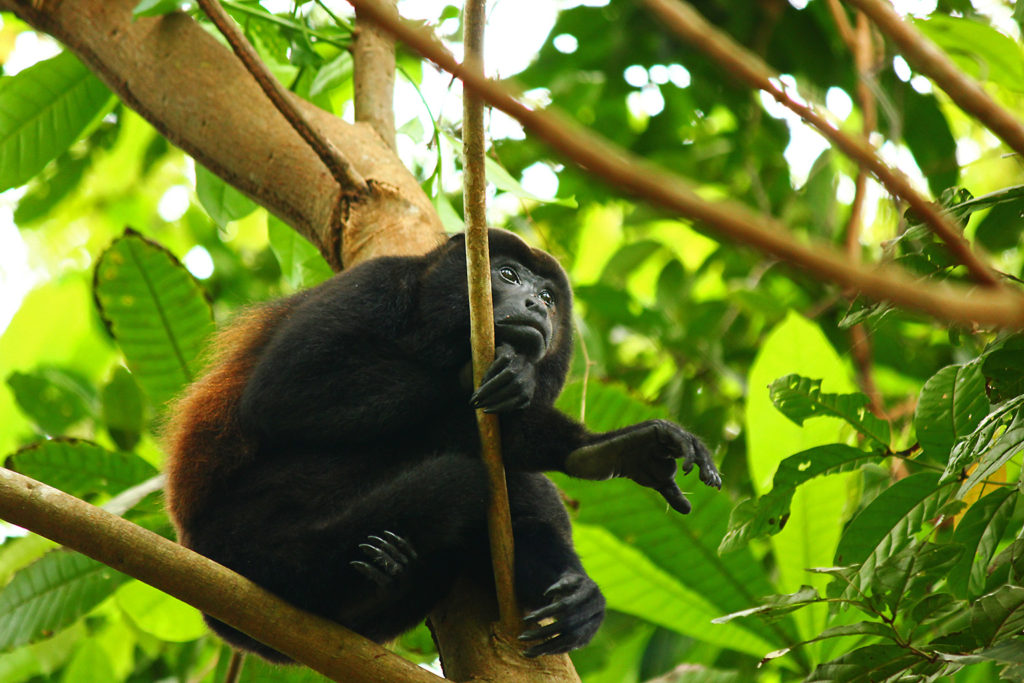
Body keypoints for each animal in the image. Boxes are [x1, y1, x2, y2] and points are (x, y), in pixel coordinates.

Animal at [161, 229, 720, 663]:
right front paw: (496, 368)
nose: (537, 307)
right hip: (261, 512)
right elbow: (285, 390)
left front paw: (614, 448)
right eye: (508, 276)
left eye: (550, 298)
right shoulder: (374, 283)